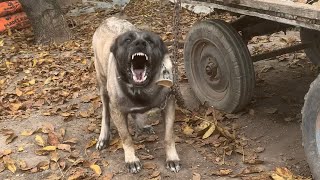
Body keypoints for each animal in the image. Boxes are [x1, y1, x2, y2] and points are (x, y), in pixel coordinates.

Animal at [92, 17, 181, 174]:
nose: (140, 43)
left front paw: (172, 158)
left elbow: (169, 136)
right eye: (127, 40)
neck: (141, 89)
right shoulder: (117, 111)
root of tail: (108, 19)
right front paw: (131, 159)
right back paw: (103, 136)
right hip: (103, 87)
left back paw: (142, 126)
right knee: (105, 113)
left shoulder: (169, 104)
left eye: (150, 41)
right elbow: (126, 137)